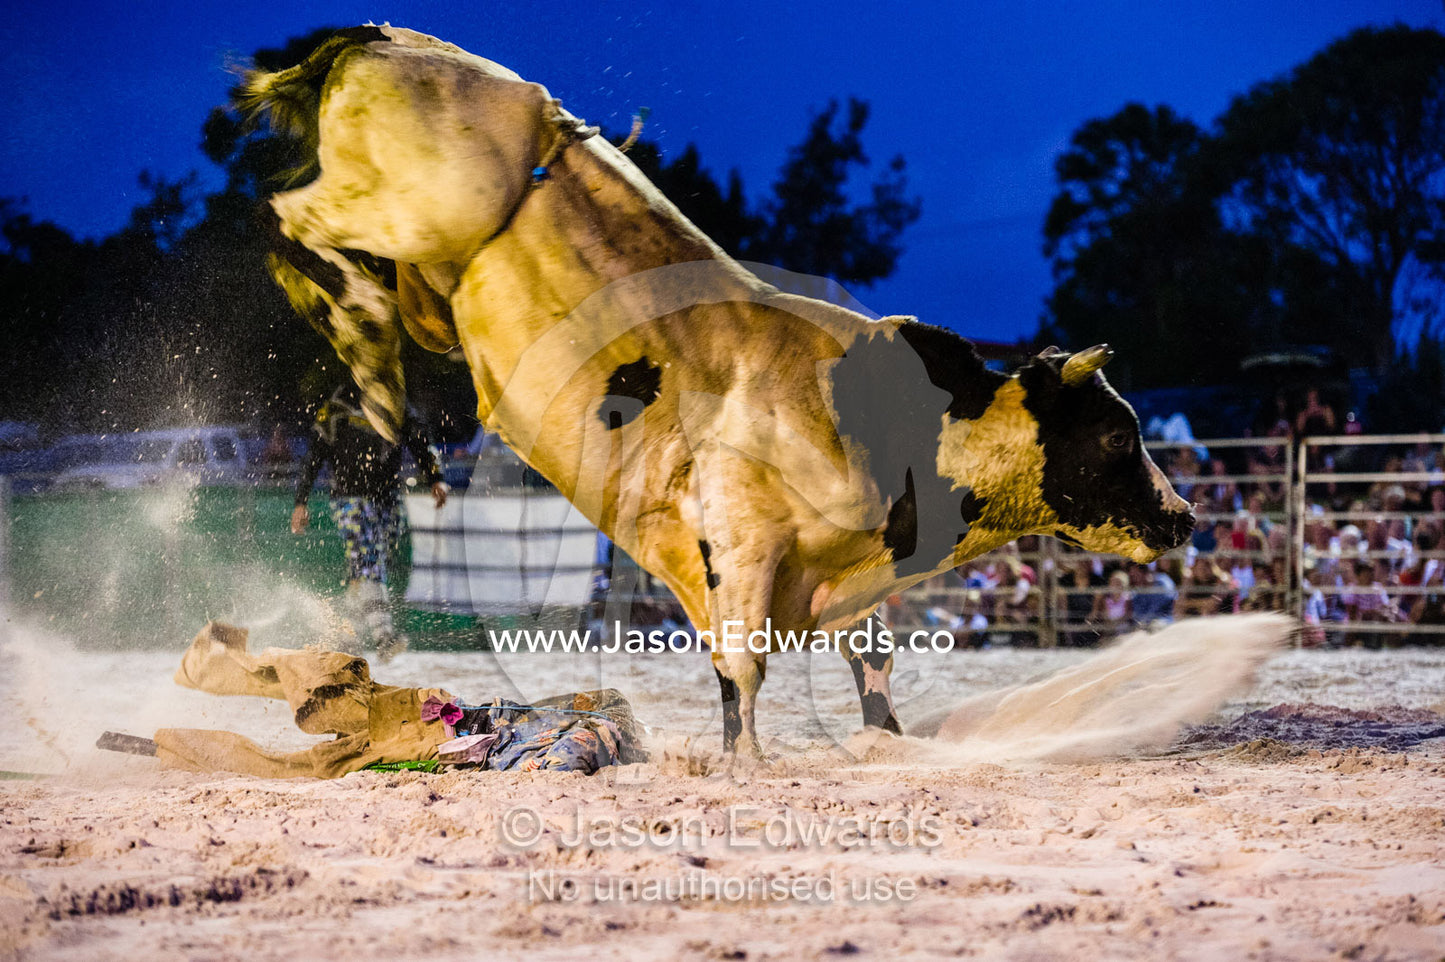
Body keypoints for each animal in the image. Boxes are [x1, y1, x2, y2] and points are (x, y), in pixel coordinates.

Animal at [239, 26, 1195, 758]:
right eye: (1117, 435)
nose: (1184, 517)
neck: (898, 424)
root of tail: (382, 36)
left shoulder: (846, 578)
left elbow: (869, 660)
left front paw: (881, 744)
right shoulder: (739, 540)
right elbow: (743, 667)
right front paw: (747, 764)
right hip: (419, 205)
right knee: (286, 216)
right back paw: (365, 343)